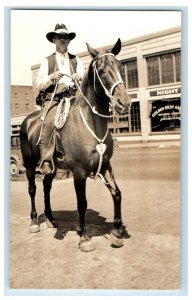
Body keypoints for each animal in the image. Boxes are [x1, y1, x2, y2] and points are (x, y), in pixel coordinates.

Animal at [19, 39, 130, 251]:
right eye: (101, 71)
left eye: (121, 67)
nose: (124, 102)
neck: (91, 124)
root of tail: (27, 121)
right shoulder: (79, 171)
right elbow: (82, 203)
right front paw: (84, 237)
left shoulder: (105, 165)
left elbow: (118, 194)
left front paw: (117, 232)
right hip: (29, 164)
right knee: (32, 189)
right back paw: (34, 221)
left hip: (52, 168)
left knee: (46, 187)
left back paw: (51, 219)